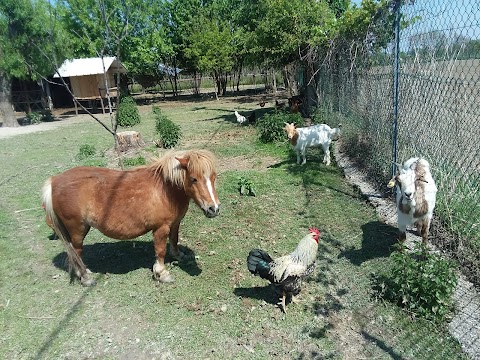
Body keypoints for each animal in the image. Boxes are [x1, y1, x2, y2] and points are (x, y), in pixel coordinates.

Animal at [42, 148, 220, 286]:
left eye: (213, 177)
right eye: (193, 179)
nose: (214, 209)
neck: (165, 190)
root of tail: (54, 181)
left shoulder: (174, 223)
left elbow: (174, 240)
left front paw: (178, 255)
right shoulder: (160, 229)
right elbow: (160, 251)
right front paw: (162, 274)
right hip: (77, 229)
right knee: (76, 251)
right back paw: (85, 277)